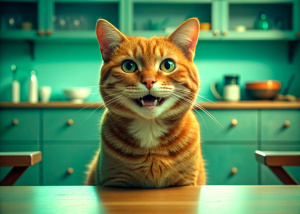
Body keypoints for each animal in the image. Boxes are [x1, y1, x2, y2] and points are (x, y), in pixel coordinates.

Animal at [85, 18, 205, 188]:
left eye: (167, 65)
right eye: (129, 66)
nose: (149, 81)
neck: (150, 130)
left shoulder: (186, 181)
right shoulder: (114, 180)